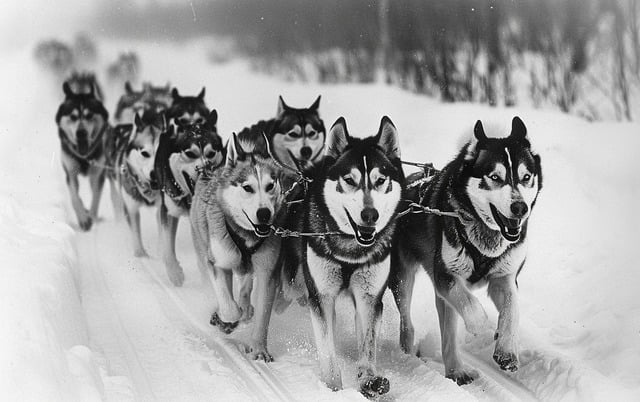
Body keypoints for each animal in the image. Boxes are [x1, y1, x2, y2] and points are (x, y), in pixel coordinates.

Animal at [56, 81, 110, 229]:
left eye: (89, 115)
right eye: (73, 116)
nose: (81, 133)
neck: (84, 157)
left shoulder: (97, 173)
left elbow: (96, 197)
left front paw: (91, 216)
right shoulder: (70, 172)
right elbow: (75, 198)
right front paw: (83, 218)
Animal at [114, 110, 166, 256]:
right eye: (145, 153)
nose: (155, 173)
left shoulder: (161, 208)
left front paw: (161, 253)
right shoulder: (131, 209)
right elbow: (136, 234)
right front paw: (141, 255)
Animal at [190, 133, 290, 362]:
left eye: (270, 186)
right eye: (247, 187)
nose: (265, 213)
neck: (246, 236)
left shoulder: (267, 271)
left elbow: (262, 315)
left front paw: (260, 349)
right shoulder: (218, 263)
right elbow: (228, 306)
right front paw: (225, 320)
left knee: (246, 284)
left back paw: (246, 307)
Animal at [286, 117, 404, 398]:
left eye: (381, 180)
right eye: (349, 180)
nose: (370, 215)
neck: (351, 252)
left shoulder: (369, 298)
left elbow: (368, 346)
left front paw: (369, 380)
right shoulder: (322, 297)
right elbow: (328, 351)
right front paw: (332, 388)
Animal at [388, 115, 544, 384]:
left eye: (526, 177)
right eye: (495, 177)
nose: (520, 208)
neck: (486, 235)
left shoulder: (504, 278)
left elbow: (512, 312)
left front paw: (506, 349)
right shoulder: (447, 277)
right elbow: (472, 309)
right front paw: (481, 327)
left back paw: (456, 370)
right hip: (404, 279)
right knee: (409, 324)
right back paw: (420, 359)